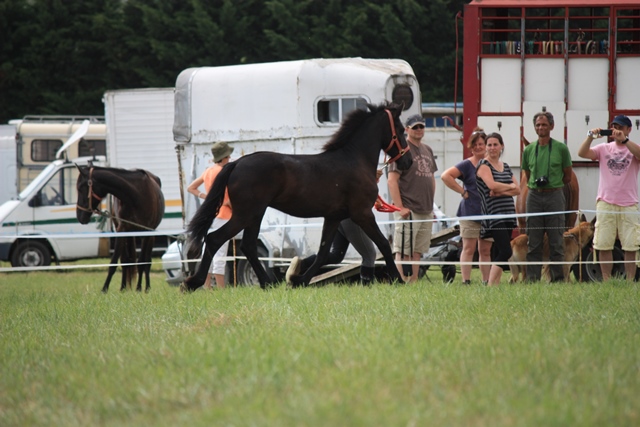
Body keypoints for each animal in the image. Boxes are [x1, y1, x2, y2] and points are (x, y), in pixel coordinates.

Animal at [184, 103, 416, 290]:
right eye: (401, 130)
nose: (408, 162)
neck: (354, 160)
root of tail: (237, 163)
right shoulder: (363, 214)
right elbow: (384, 244)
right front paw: (398, 279)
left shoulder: (333, 217)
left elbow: (323, 253)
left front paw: (298, 280)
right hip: (245, 214)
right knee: (215, 239)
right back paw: (193, 283)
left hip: (255, 215)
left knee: (247, 245)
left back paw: (267, 283)